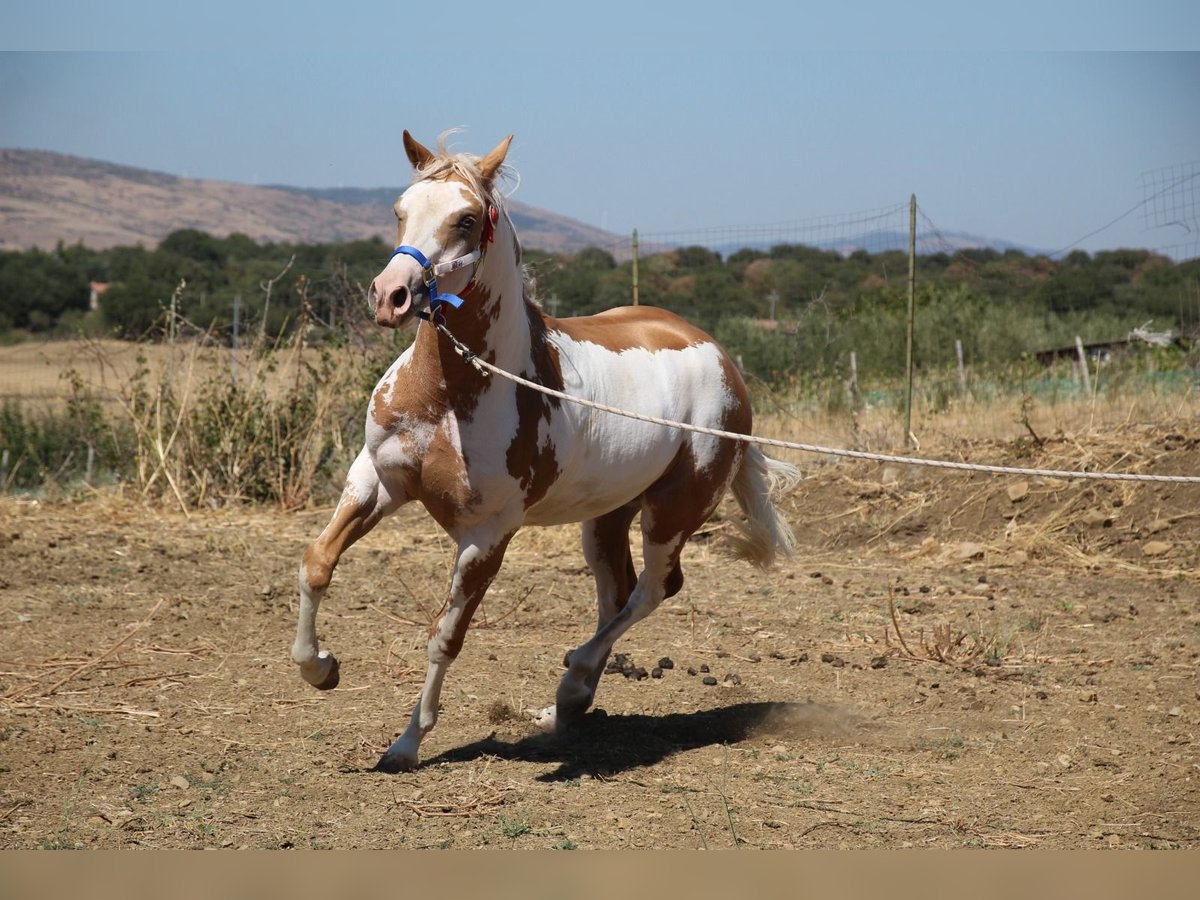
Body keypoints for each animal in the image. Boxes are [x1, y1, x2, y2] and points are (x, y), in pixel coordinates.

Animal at [285, 130, 801, 772]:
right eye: (400, 209)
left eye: (466, 218)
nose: (391, 296)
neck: (451, 392)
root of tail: (719, 356)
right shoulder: (376, 480)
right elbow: (317, 564)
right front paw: (320, 668)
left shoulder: (488, 534)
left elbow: (446, 634)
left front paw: (406, 745)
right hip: (606, 517)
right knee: (616, 593)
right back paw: (563, 710)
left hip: (674, 511)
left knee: (655, 589)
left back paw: (572, 684)